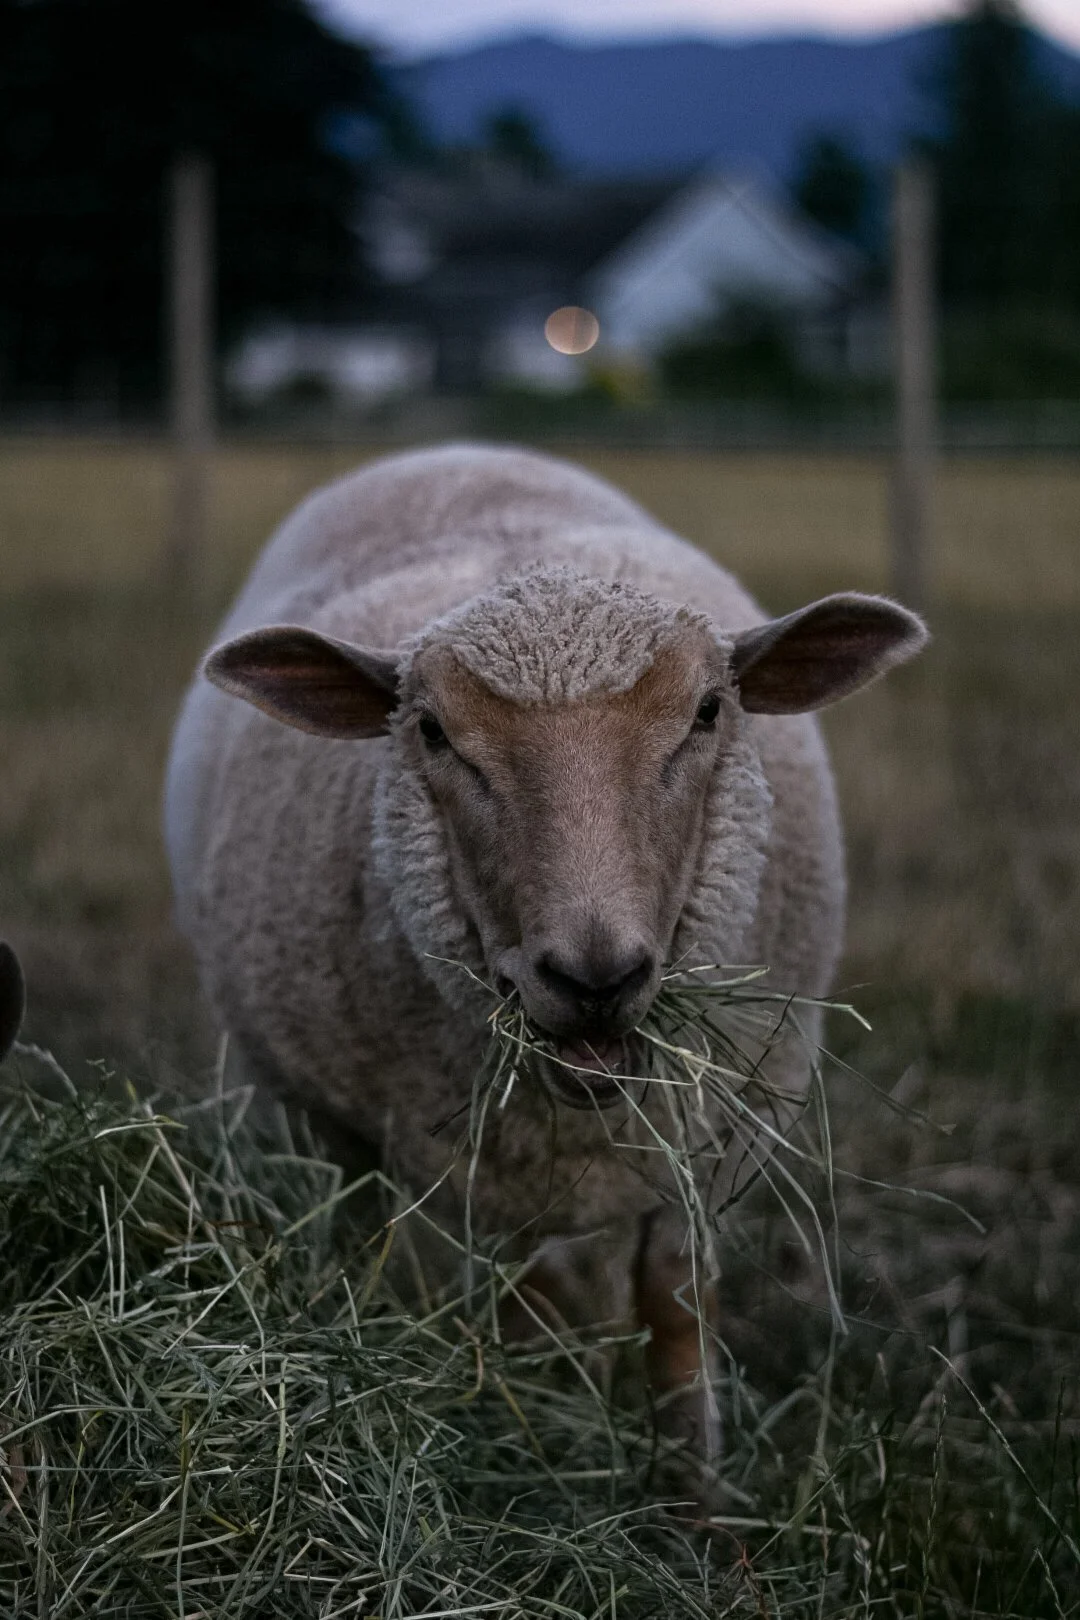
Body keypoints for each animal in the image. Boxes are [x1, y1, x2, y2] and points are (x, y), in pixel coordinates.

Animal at [165, 443, 926, 1462]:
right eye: (431, 730)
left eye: (709, 712)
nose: (595, 977)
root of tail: (456, 449)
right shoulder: (422, 1156)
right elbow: (511, 1306)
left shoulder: (712, 1142)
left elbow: (678, 1313)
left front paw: (695, 1494)